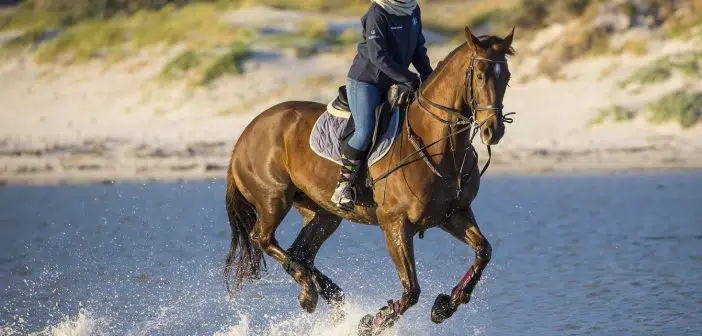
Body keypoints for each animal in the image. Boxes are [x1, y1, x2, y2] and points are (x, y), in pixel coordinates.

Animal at [226, 26, 516, 334]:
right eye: (481, 74)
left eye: (507, 77)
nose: (493, 131)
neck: (438, 144)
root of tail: (245, 134)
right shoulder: (395, 224)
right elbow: (411, 290)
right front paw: (372, 322)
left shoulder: (453, 214)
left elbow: (483, 251)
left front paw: (444, 307)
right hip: (274, 199)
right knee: (263, 238)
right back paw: (309, 292)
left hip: (324, 213)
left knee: (300, 252)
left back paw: (328, 295)